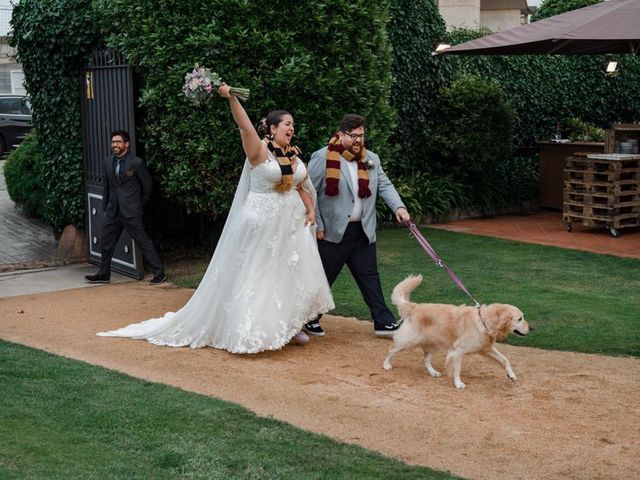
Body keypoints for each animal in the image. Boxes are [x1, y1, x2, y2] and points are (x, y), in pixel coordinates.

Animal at [382, 276, 532, 388]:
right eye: (520, 319)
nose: (531, 328)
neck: (484, 321)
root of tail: (414, 306)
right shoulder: (458, 350)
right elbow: (457, 369)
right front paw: (458, 383)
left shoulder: (486, 349)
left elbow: (505, 360)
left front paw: (511, 375)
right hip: (408, 341)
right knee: (391, 350)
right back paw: (386, 364)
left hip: (432, 344)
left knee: (425, 360)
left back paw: (433, 372)